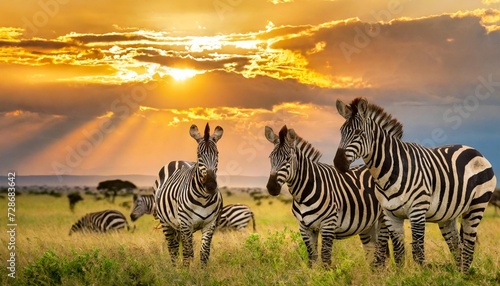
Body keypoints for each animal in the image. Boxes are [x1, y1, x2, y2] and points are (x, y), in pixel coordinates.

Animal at [264, 126, 388, 268]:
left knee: (381, 253)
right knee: (372, 254)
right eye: (270, 157)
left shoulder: (328, 224)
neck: (303, 194)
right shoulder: (304, 227)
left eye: (288, 158)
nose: (271, 187)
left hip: (384, 218)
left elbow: (325, 258)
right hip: (368, 224)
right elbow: (312, 258)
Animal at [332, 96, 496, 272]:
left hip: (477, 204)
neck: (389, 172)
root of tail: (474, 150)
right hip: (448, 215)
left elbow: (417, 251)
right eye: (341, 132)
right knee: (457, 246)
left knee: (469, 246)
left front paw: (421, 275)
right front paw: (400, 275)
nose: (338, 163)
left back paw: (464, 274)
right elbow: (399, 253)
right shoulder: (390, 215)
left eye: (358, 133)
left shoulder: (417, 210)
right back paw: (459, 274)